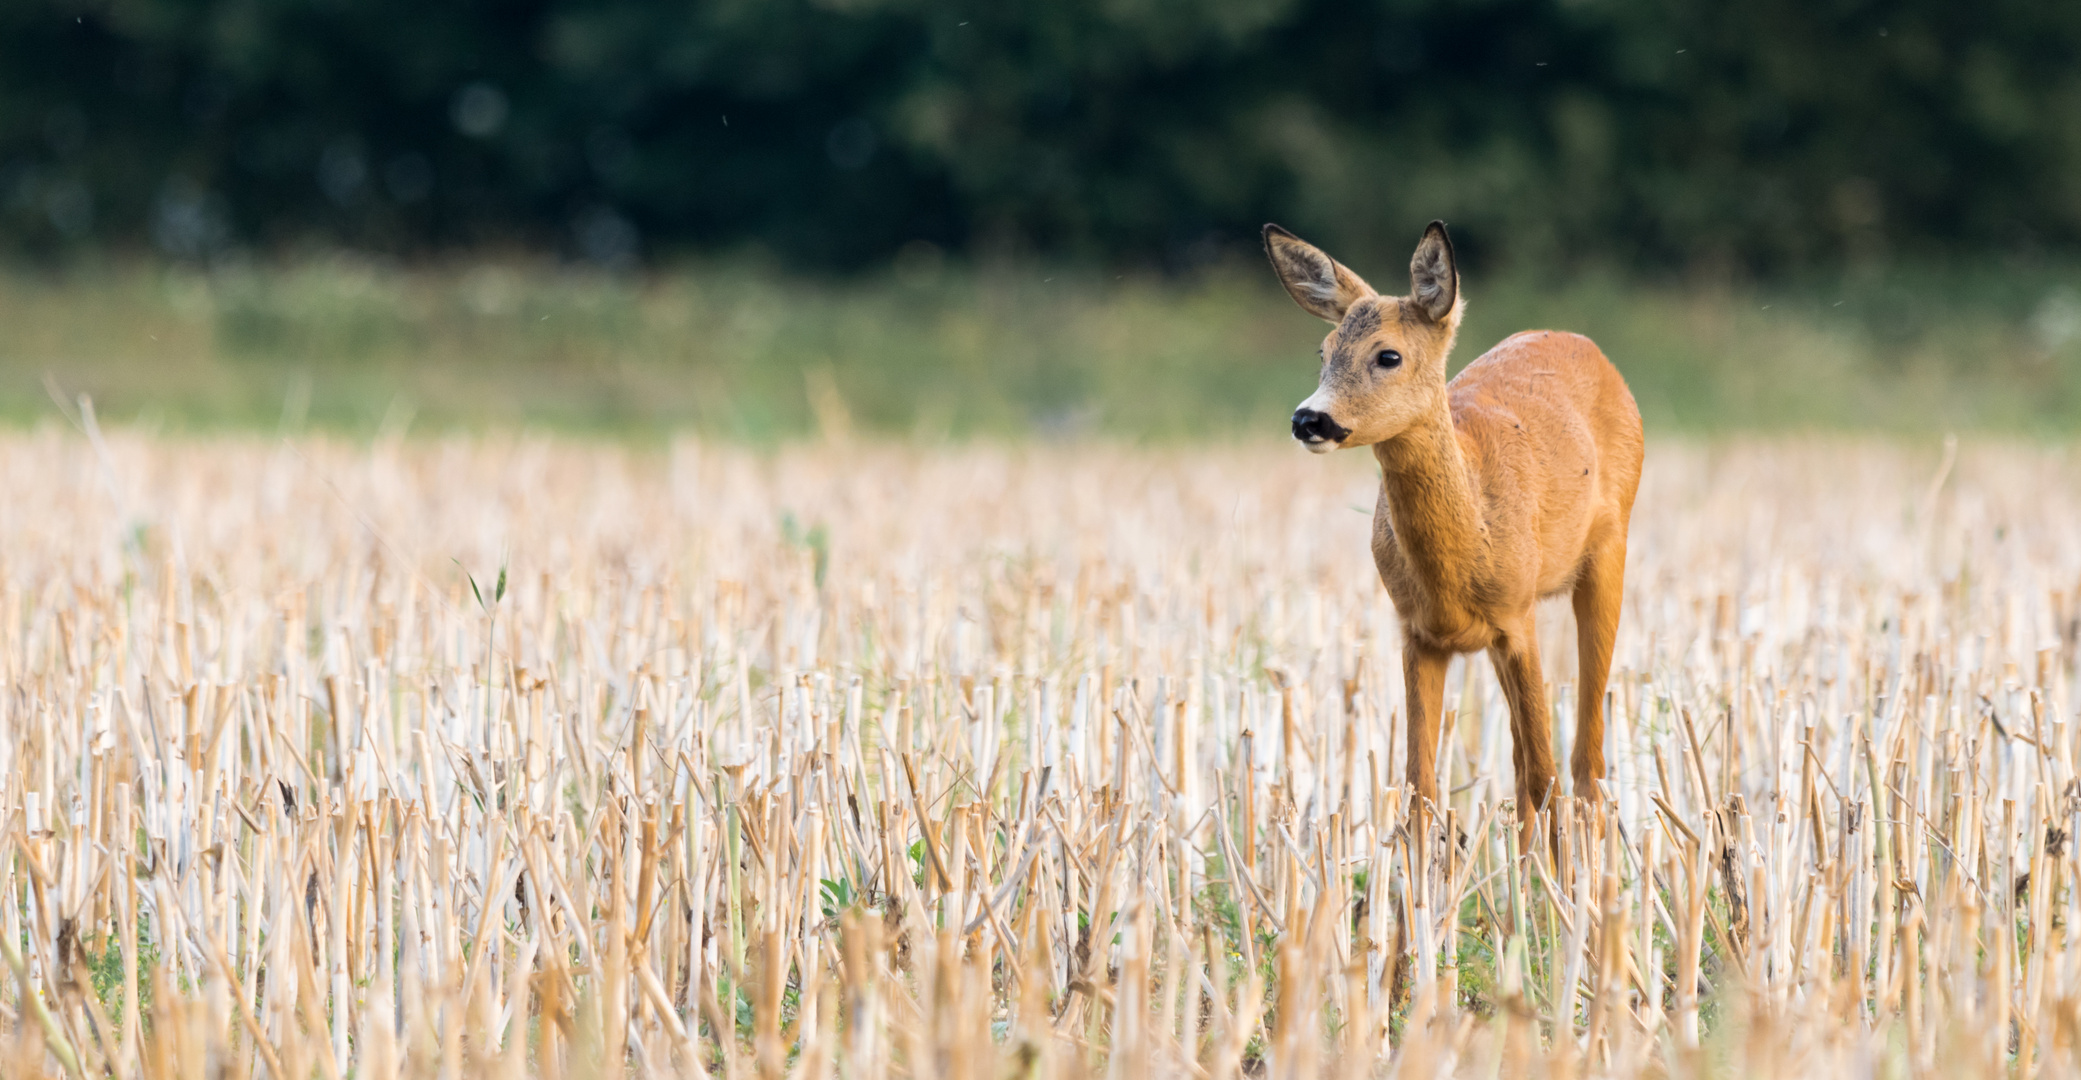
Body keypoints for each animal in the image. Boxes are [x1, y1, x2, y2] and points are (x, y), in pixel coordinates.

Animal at [1256, 219, 1648, 828]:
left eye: (1388, 355)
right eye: (1323, 350)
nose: (1309, 419)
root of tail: (1585, 344)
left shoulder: (1518, 618)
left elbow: (1546, 776)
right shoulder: (1418, 632)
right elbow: (1419, 787)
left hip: (1609, 550)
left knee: (1584, 762)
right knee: (1520, 760)